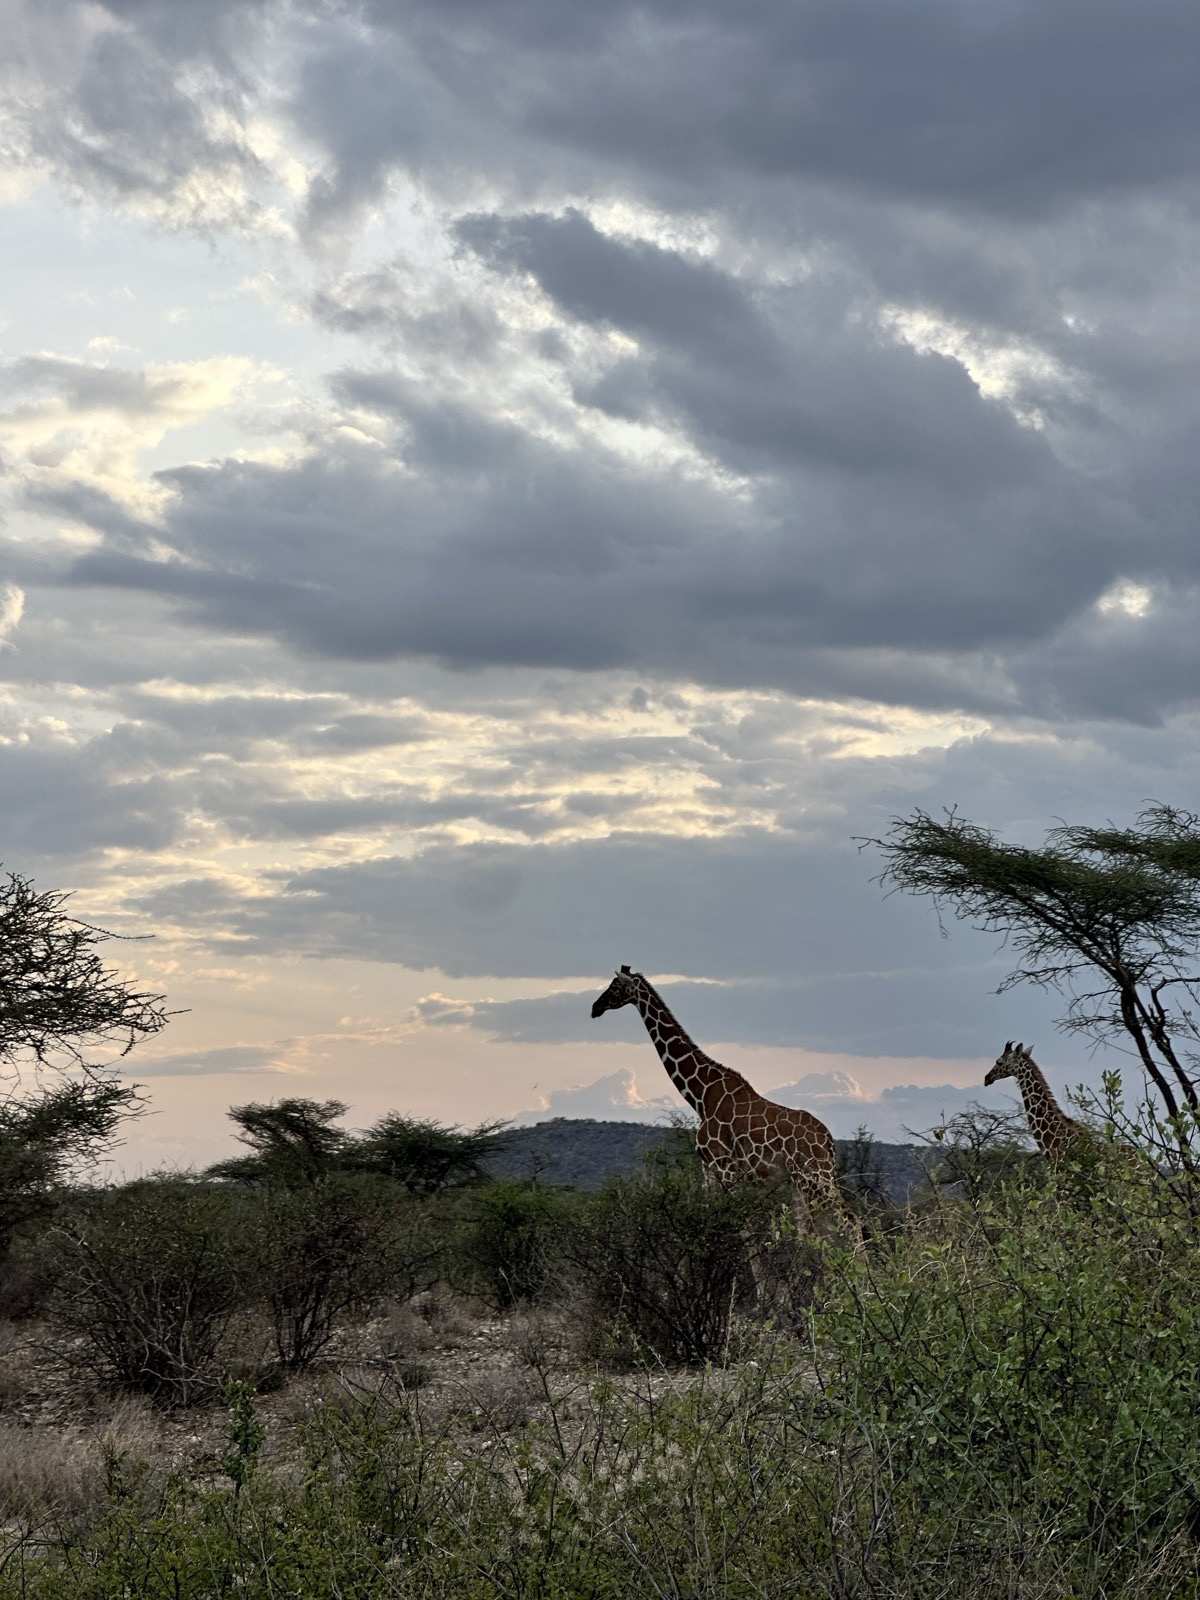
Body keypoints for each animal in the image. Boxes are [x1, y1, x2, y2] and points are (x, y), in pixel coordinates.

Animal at [590, 966, 856, 1238]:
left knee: (850, 1221)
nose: (594, 1007)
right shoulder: (708, 1169)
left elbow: (743, 1228)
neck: (701, 1096)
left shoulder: (727, 1167)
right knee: (808, 1232)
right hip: (801, 1180)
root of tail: (828, 1141)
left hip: (817, 1175)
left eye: (614, 986)